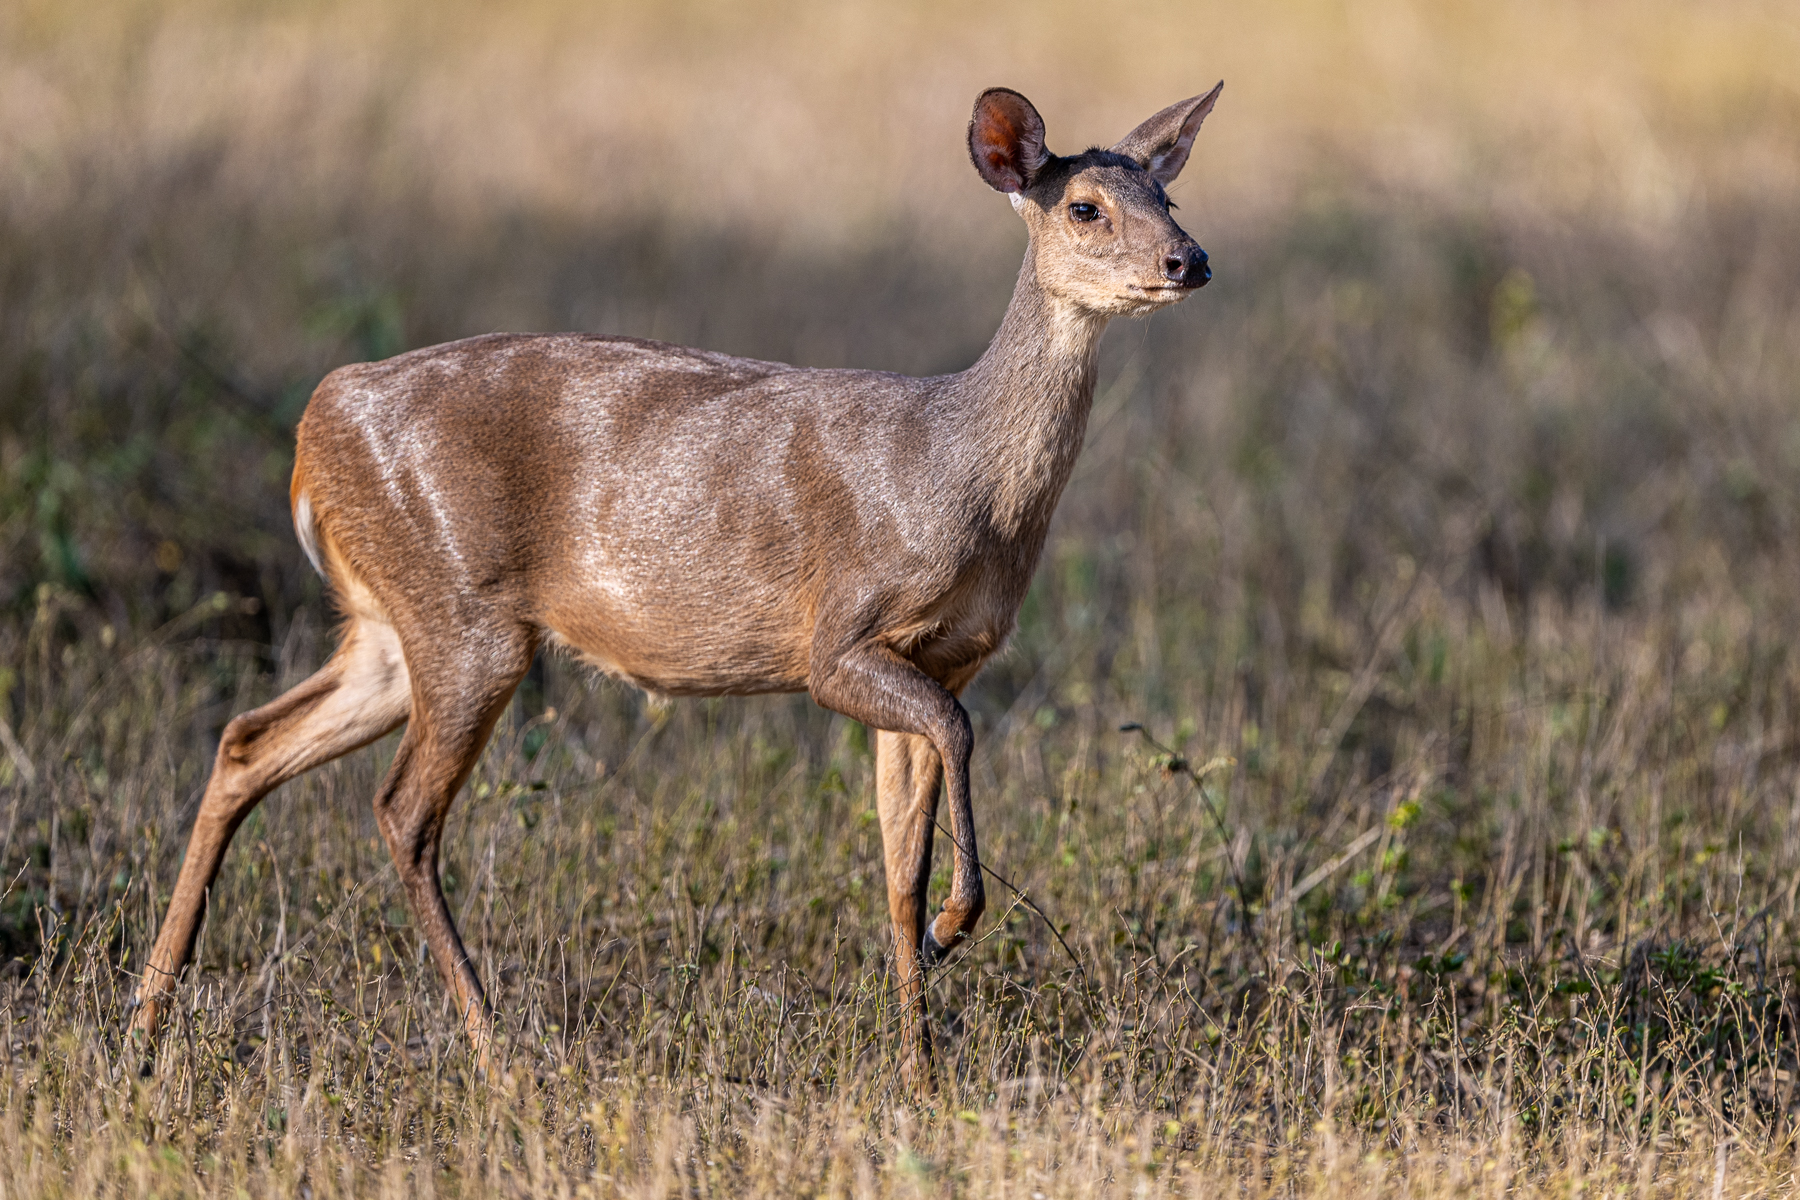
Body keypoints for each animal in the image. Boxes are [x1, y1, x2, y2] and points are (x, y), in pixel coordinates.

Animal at [127, 81, 1223, 1083]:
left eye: (1168, 194)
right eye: (1085, 206)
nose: (1191, 259)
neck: (962, 479)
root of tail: (313, 433)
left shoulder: (950, 657)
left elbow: (895, 862)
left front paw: (920, 1069)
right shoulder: (840, 637)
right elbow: (950, 747)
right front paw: (959, 925)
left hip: (392, 630)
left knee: (248, 740)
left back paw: (147, 1021)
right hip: (464, 615)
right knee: (401, 811)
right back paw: (495, 1049)